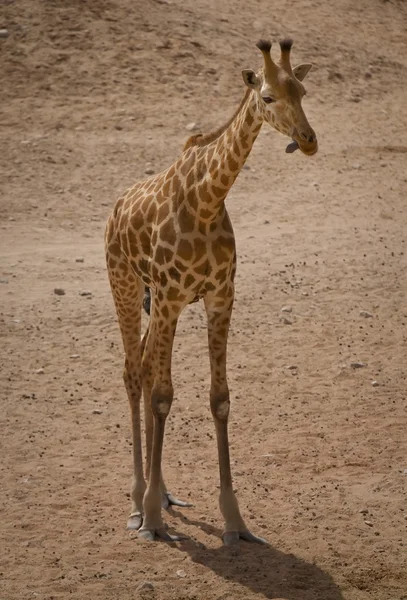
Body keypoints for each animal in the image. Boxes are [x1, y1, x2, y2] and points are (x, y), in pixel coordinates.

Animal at [104, 37, 318, 544]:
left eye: (302, 91)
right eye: (268, 97)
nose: (307, 140)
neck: (206, 199)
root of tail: (115, 208)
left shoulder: (220, 296)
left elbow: (219, 399)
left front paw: (235, 522)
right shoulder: (169, 297)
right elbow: (163, 395)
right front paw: (152, 521)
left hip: (162, 302)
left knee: (145, 366)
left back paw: (163, 493)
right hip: (127, 285)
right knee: (133, 373)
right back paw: (138, 502)